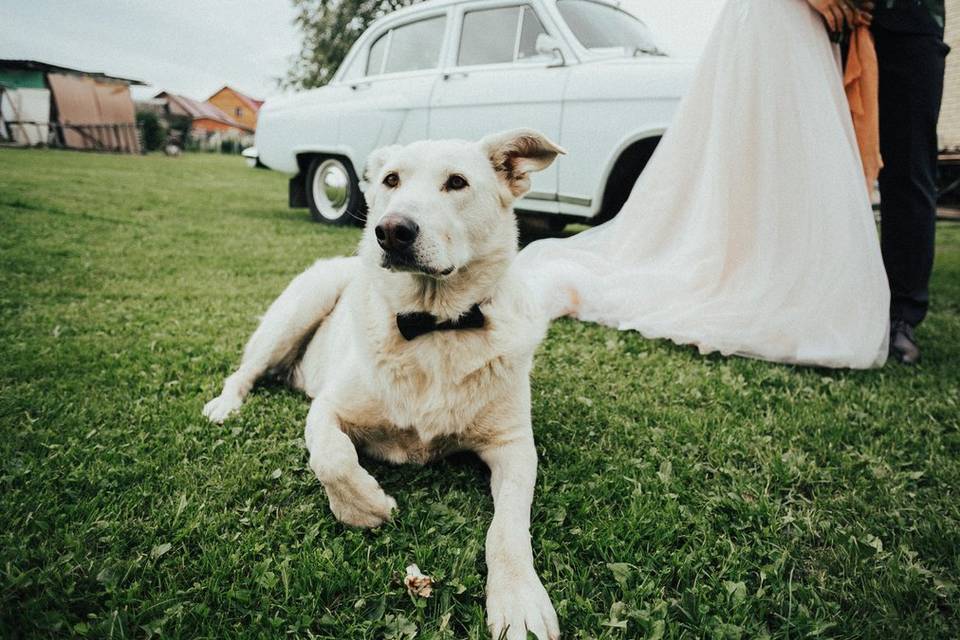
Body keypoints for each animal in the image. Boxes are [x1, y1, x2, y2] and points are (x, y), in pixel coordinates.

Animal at [202, 127, 564, 636]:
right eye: (391, 180)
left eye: (457, 182)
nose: (391, 230)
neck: (433, 327)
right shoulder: (327, 409)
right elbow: (332, 459)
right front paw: (370, 507)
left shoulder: (513, 445)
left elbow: (508, 527)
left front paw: (518, 599)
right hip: (299, 307)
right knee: (245, 371)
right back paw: (225, 405)